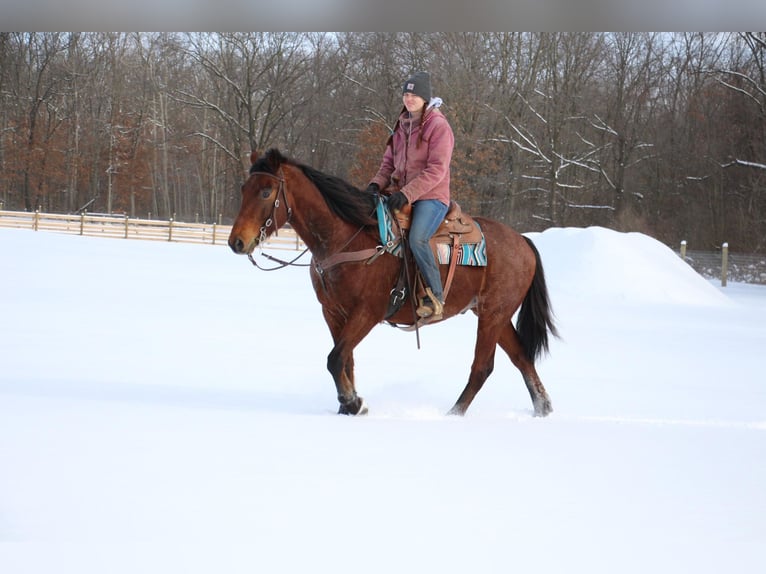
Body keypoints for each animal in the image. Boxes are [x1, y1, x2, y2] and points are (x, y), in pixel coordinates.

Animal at [228, 148, 560, 418]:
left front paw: (353, 403)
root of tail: (523, 241)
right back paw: (542, 409)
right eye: (245, 188)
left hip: (493, 315)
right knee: (522, 358)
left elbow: (335, 358)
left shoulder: (368, 312)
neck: (346, 238)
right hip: (495, 315)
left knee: (482, 367)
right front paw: (347, 404)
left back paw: (453, 414)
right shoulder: (333, 313)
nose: (237, 241)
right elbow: (346, 360)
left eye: (266, 191)